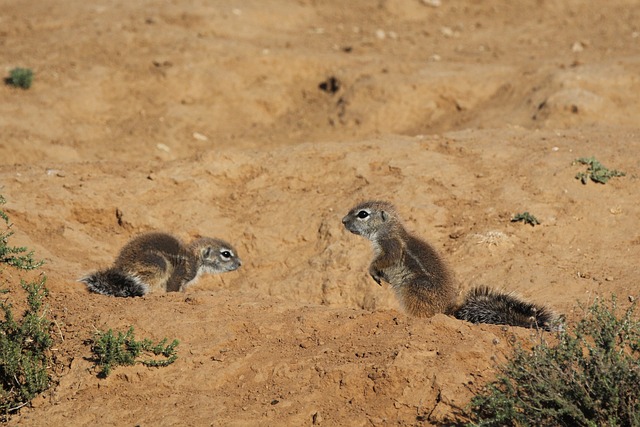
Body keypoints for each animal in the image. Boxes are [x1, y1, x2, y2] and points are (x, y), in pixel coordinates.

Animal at [79, 234, 240, 298]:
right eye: (226, 254)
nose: (240, 263)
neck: (194, 257)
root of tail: (119, 267)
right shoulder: (179, 274)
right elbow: (173, 288)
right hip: (158, 265)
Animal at [342, 201, 556, 332]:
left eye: (363, 214)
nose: (343, 221)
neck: (389, 229)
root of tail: (447, 310)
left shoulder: (390, 246)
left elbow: (384, 260)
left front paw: (373, 271)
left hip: (412, 288)